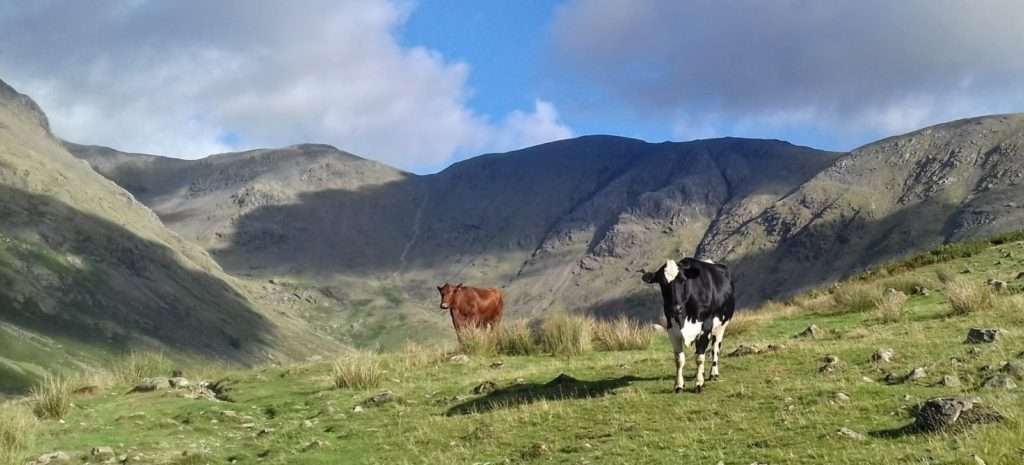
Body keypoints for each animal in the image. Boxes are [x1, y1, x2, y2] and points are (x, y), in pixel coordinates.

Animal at [638, 258, 737, 393]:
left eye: (683, 280)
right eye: (662, 282)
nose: (675, 308)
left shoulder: (706, 328)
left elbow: (699, 358)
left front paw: (699, 384)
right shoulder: (672, 330)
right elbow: (679, 360)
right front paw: (679, 385)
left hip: (721, 326)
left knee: (715, 348)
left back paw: (713, 374)